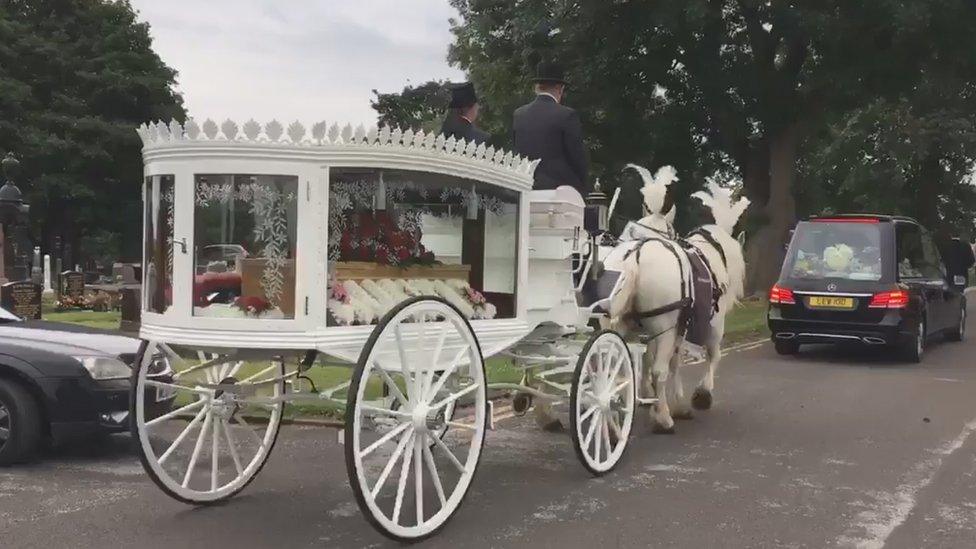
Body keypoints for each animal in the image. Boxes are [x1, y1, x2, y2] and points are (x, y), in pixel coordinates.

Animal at [608, 171, 748, 432]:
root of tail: (635, 255)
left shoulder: (675, 326)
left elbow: (668, 360)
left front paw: (667, 401)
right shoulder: (713, 323)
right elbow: (712, 354)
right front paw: (702, 395)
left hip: (622, 324)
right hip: (664, 325)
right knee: (658, 370)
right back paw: (663, 419)